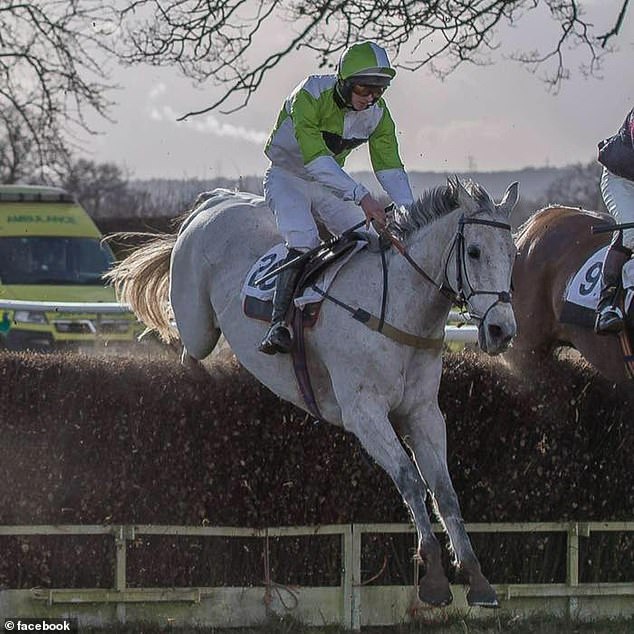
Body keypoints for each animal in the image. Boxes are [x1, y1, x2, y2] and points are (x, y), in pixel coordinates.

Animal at [106, 178, 516, 608]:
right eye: (474, 251)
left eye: (513, 253)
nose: (502, 331)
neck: (396, 310)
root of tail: (216, 200)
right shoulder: (364, 412)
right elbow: (410, 480)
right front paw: (434, 576)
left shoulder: (423, 412)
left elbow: (444, 490)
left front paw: (476, 577)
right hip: (198, 323)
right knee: (187, 349)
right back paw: (199, 378)